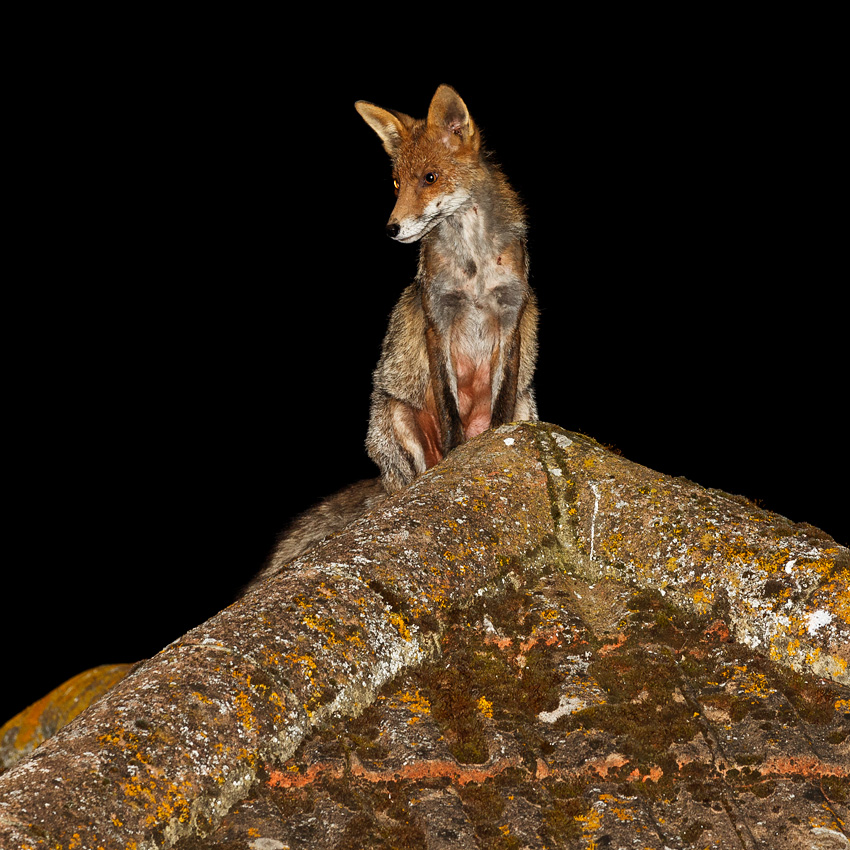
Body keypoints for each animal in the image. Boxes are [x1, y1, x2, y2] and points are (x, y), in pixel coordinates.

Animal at [243, 85, 538, 592]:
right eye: (397, 184)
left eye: (430, 178)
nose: (391, 229)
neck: (474, 266)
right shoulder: (437, 319)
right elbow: (448, 408)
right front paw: (460, 457)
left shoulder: (510, 316)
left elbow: (499, 406)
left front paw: (489, 447)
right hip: (395, 418)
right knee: (415, 477)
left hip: (527, 407)